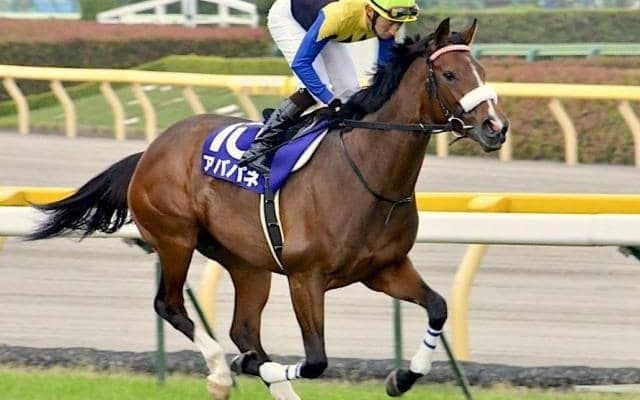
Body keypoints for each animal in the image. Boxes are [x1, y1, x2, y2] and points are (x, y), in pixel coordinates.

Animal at [28, 18, 508, 400]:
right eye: (449, 73)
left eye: (483, 71)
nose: (496, 128)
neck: (366, 176)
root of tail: (151, 149)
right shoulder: (305, 277)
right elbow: (315, 360)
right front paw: (242, 367)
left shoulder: (384, 269)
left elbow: (438, 307)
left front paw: (402, 378)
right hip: (175, 239)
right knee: (171, 306)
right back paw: (222, 372)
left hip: (246, 262)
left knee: (243, 329)